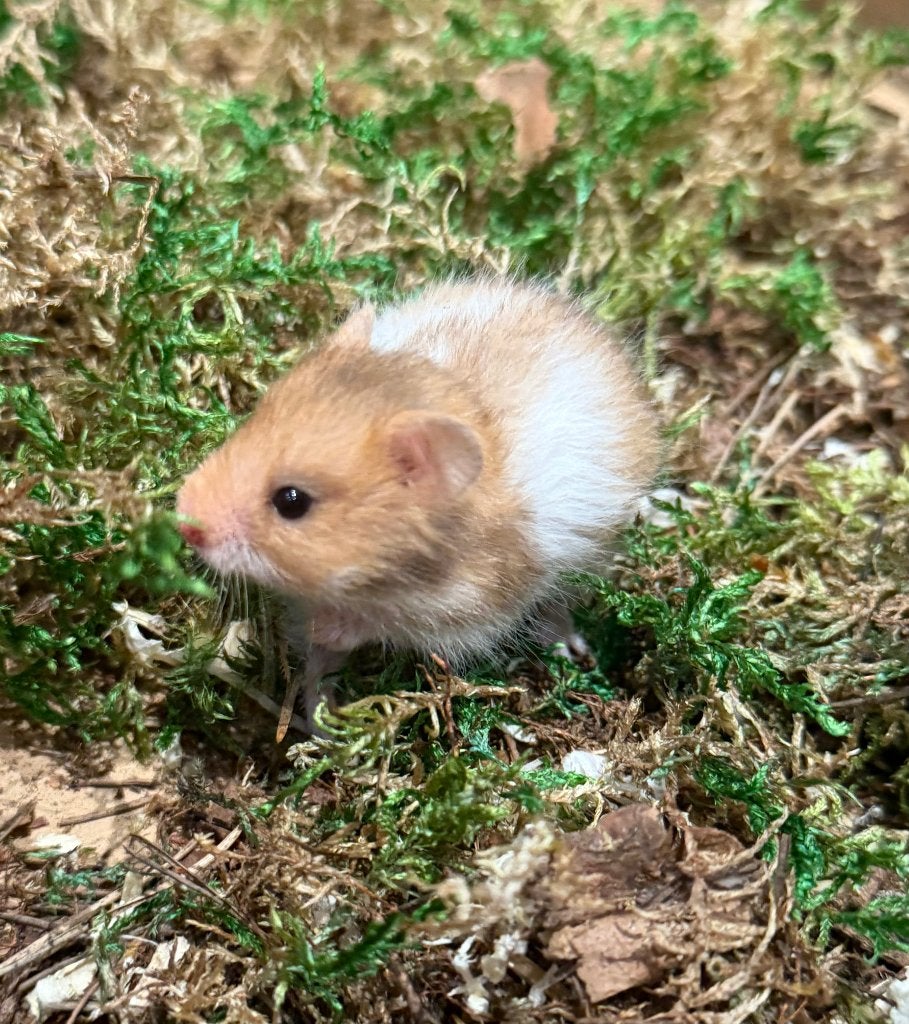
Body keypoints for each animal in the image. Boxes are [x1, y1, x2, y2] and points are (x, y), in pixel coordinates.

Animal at [177, 277, 660, 728]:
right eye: (251, 420)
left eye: (291, 501)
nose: (182, 521)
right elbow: (317, 665)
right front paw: (320, 724)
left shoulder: (469, 611)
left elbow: (372, 629)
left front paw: (329, 646)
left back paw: (568, 646)